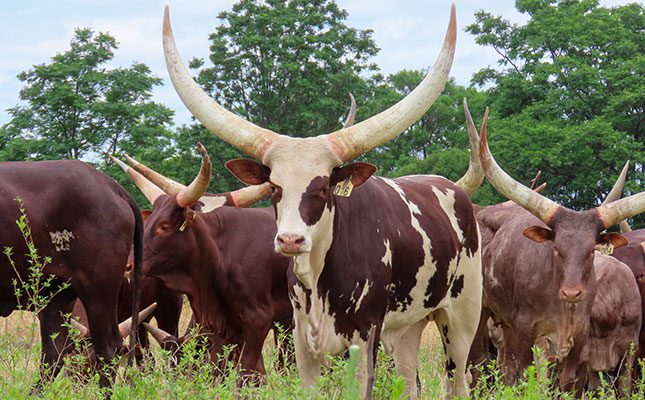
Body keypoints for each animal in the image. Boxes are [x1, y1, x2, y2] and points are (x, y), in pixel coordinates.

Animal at [162, 5, 483, 398]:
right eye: (274, 188)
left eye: (323, 189)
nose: (290, 240)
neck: (318, 279)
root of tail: (455, 190)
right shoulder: (302, 343)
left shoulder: (364, 340)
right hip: (408, 328)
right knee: (410, 381)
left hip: (461, 319)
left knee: (458, 380)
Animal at [474, 120, 644, 392]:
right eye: (556, 247)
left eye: (591, 250)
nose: (572, 292)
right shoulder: (527, 331)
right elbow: (525, 375)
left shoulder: (581, 339)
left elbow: (566, 381)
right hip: (479, 312)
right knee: (477, 361)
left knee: (504, 368)